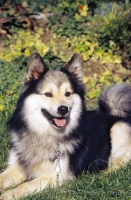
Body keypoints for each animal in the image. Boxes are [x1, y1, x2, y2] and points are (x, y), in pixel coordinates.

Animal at [0, 52, 131, 199]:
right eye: (48, 94)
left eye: (68, 94)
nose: (63, 109)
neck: (43, 133)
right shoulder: (15, 168)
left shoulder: (54, 177)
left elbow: (24, 186)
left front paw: (7, 194)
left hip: (119, 129)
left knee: (119, 162)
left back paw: (103, 173)